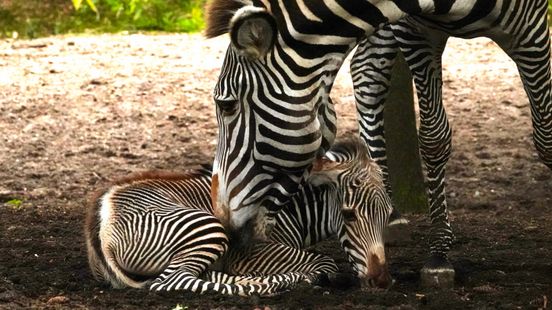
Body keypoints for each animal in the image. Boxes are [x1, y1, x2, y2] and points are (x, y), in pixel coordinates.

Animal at [204, 0, 552, 286]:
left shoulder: (531, 27)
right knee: (366, 71)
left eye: (226, 105)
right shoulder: (415, 29)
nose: (221, 219)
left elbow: (546, 136)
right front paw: (439, 253)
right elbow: (433, 136)